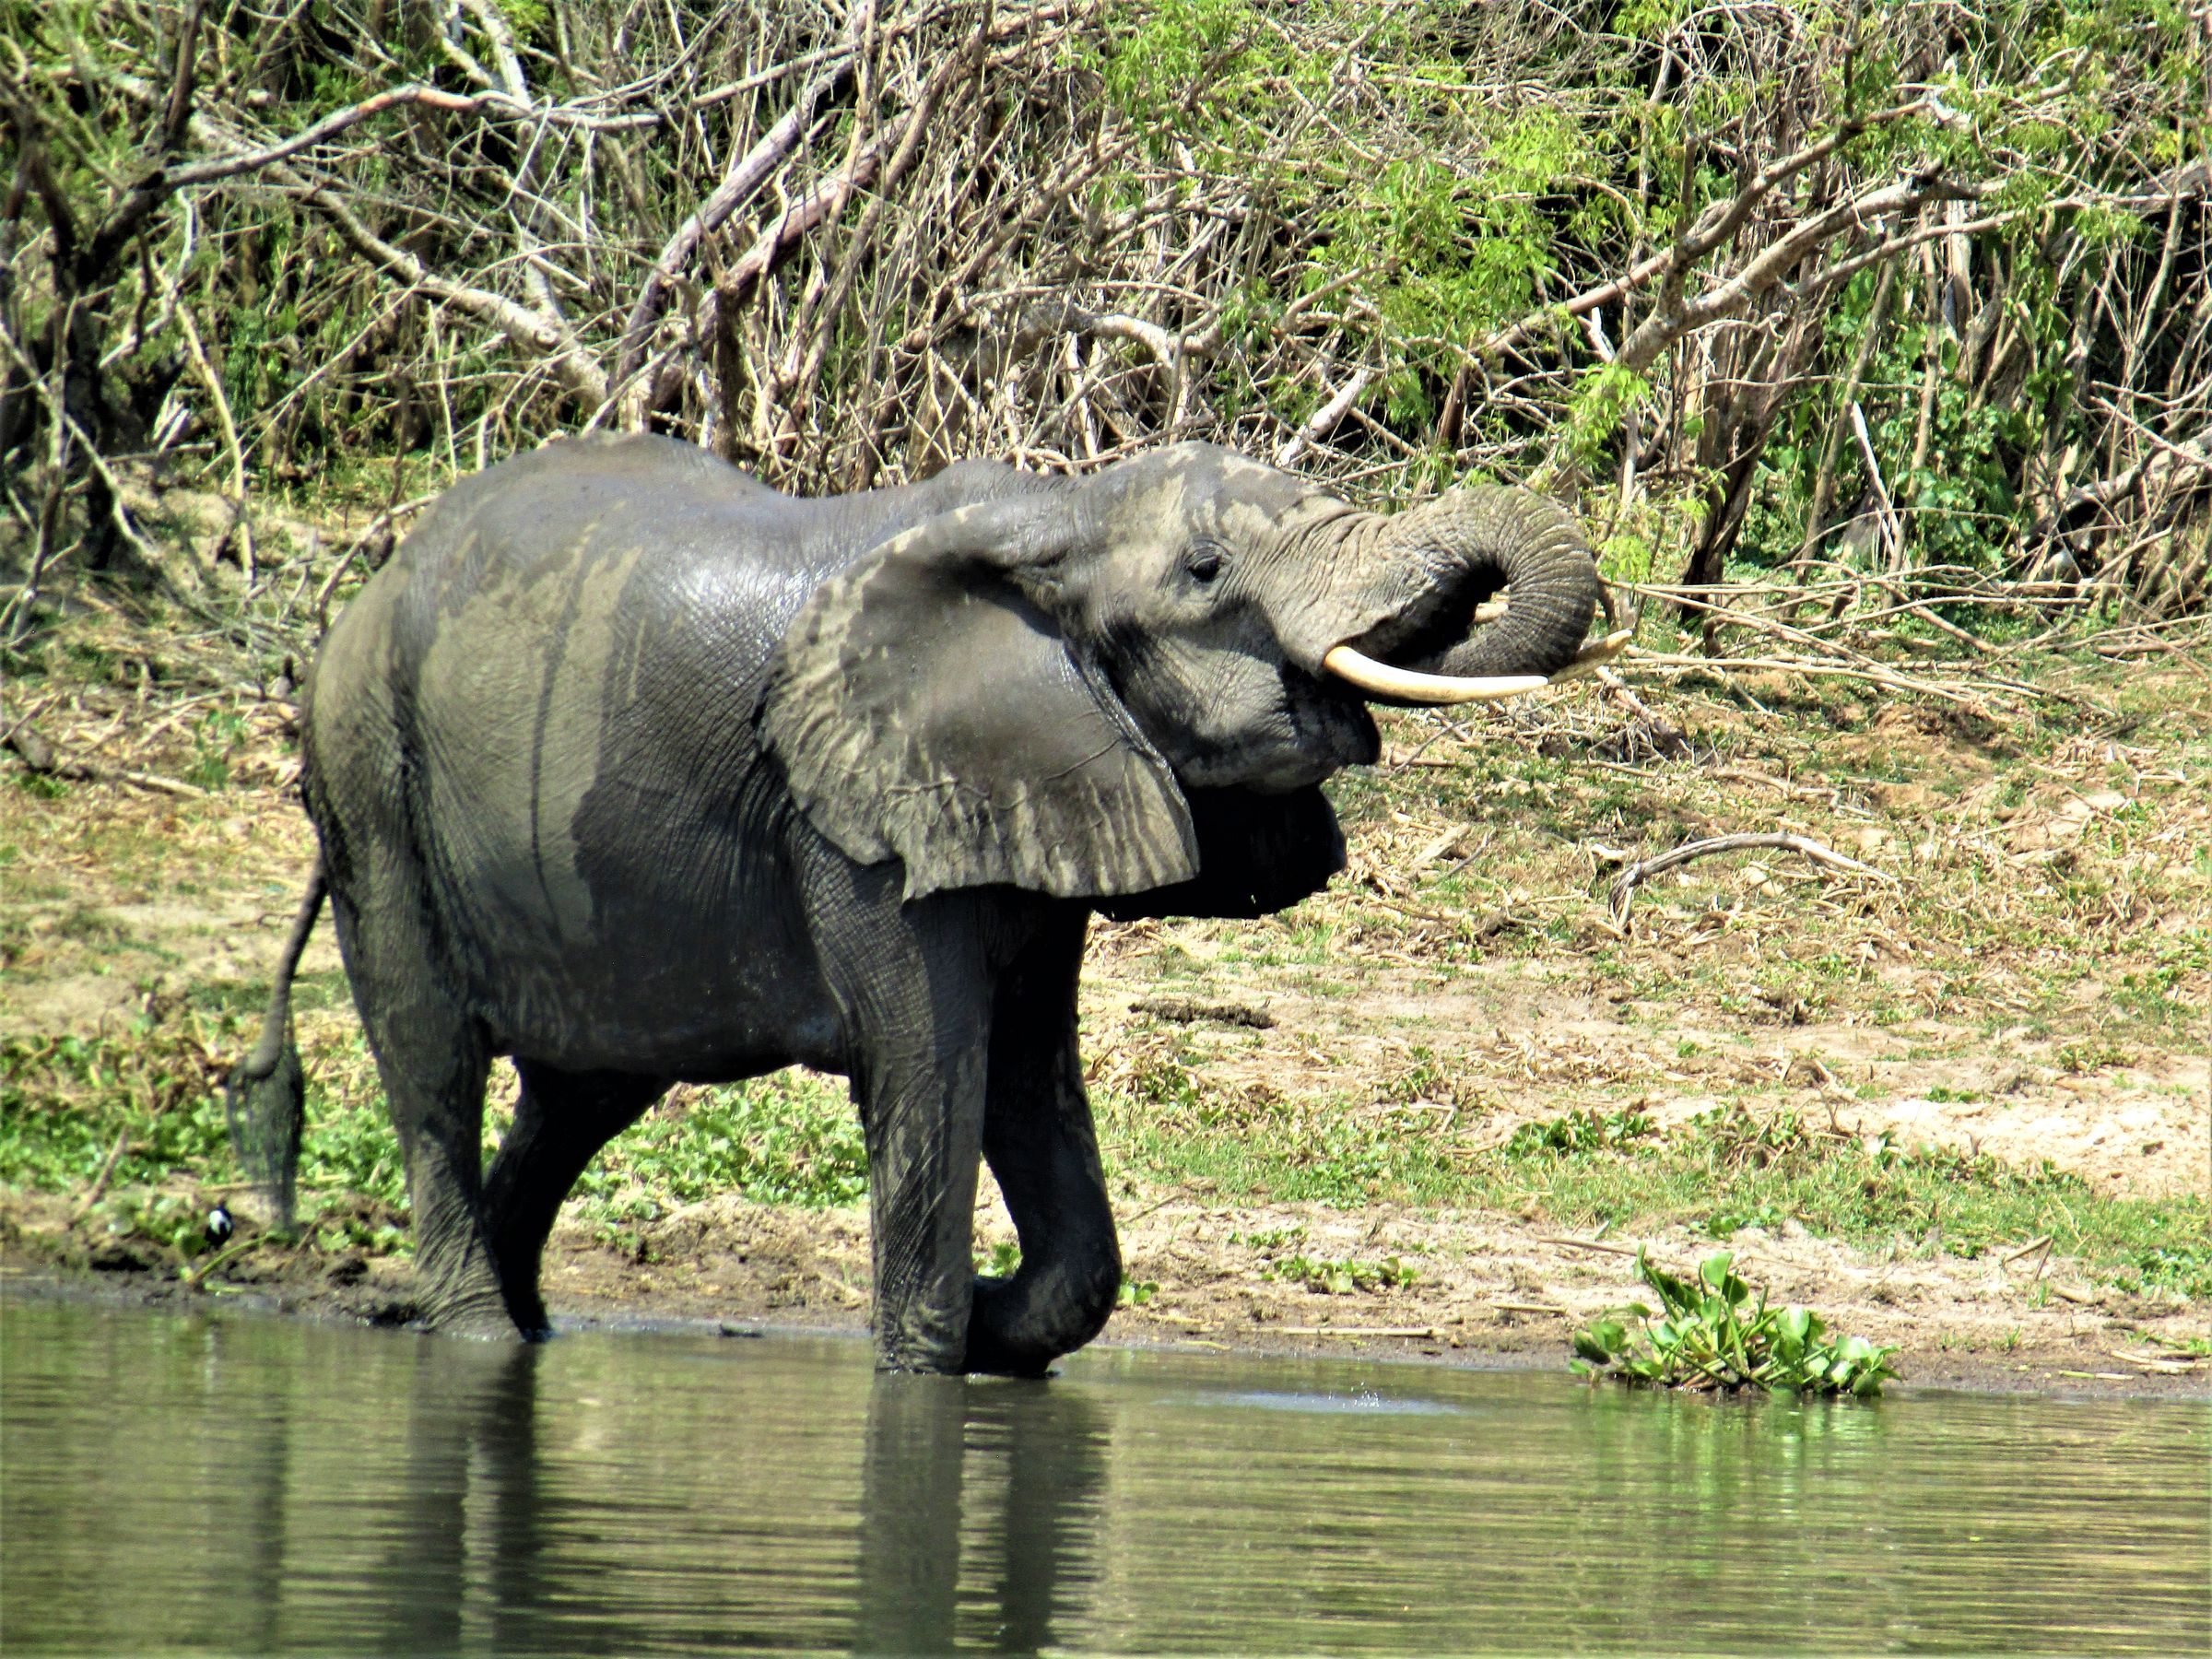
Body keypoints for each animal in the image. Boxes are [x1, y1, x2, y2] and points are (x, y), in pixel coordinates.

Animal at [227, 432, 1614, 1374]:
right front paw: (939, 1343)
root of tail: (359, 595)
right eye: (1208, 571)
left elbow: (1030, 1073)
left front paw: (1005, 1308)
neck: (1059, 513)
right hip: (370, 776)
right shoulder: (859, 819)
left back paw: (500, 1321)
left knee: (582, 1095)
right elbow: (934, 1065)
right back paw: (470, 1335)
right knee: (433, 1066)